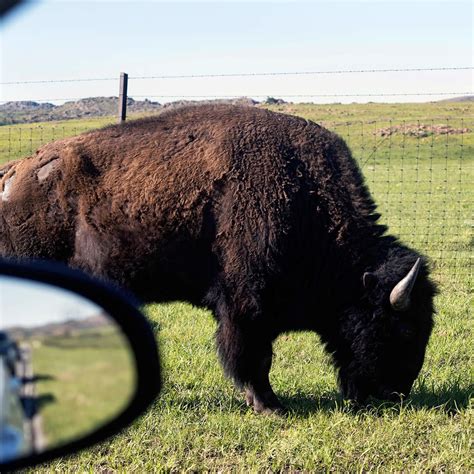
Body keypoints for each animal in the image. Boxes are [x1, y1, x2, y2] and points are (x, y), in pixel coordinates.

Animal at [0, 103, 436, 412]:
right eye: (405, 329)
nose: (396, 393)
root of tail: (14, 172)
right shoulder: (246, 307)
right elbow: (253, 357)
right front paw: (270, 406)